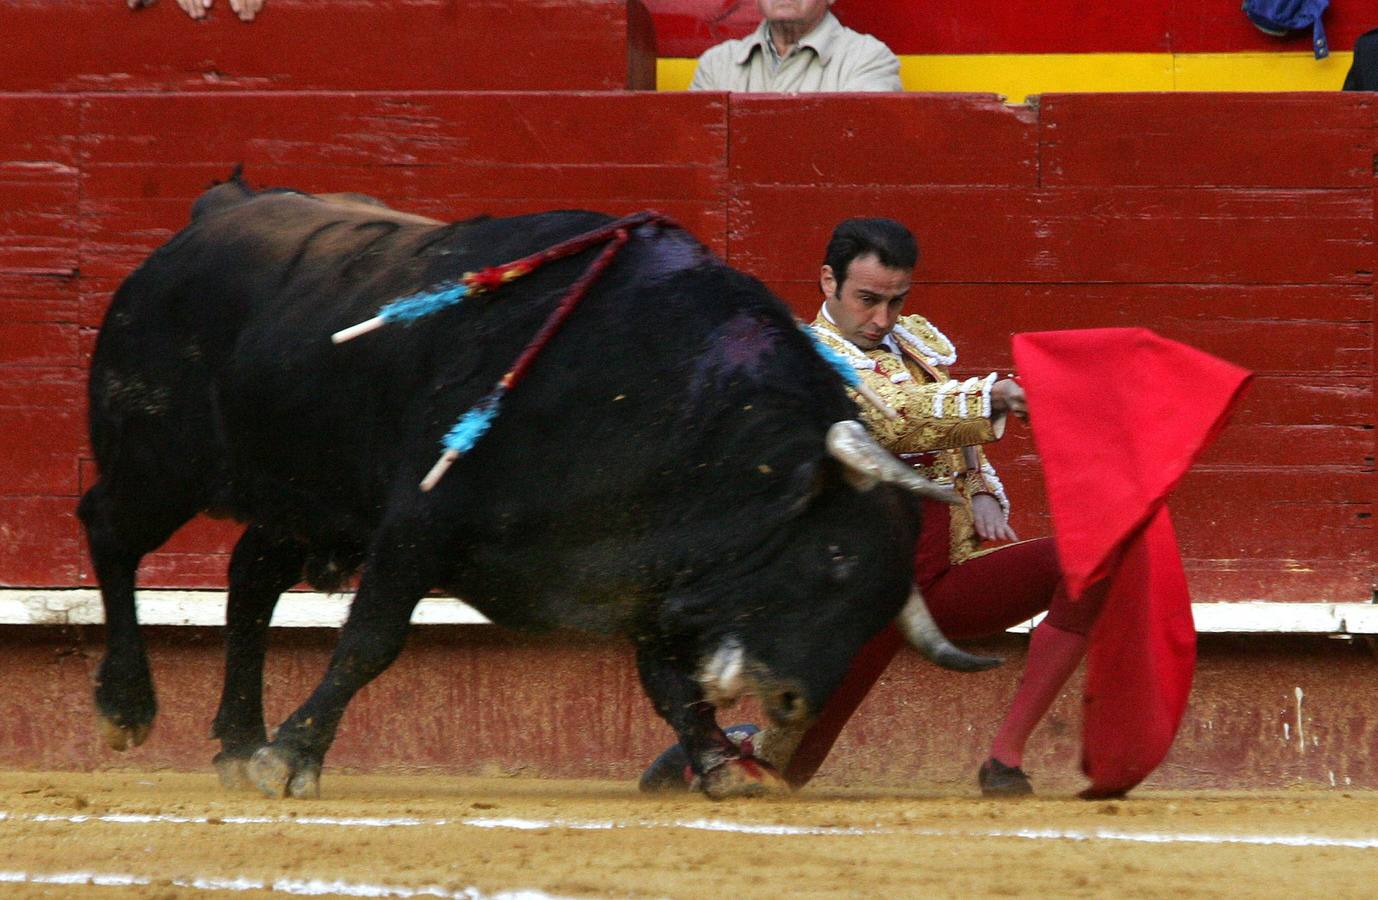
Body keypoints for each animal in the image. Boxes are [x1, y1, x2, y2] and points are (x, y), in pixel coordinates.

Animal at [78, 179, 992, 799]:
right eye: (834, 556)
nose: (794, 702)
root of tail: (206, 221)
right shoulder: (418, 523)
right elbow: (372, 640)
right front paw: (294, 757)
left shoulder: (643, 568)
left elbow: (667, 680)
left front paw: (721, 767)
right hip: (161, 460)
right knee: (110, 531)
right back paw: (129, 707)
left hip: (297, 496)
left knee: (249, 580)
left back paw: (235, 741)